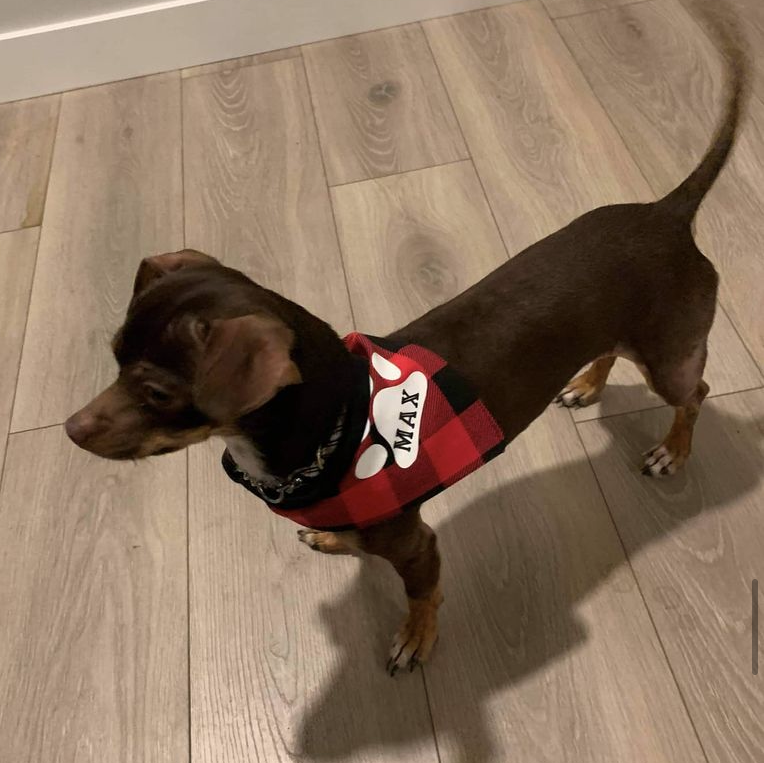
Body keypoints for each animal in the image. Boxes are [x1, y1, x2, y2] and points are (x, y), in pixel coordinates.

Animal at [64, 20, 748, 676]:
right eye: (113, 355)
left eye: (157, 392)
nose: (69, 431)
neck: (335, 430)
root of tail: (667, 212)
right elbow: (343, 538)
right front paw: (334, 542)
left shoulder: (417, 544)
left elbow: (423, 594)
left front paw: (417, 639)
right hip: (624, 329)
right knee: (610, 351)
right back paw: (585, 384)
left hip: (668, 354)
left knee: (696, 390)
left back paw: (673, 450)